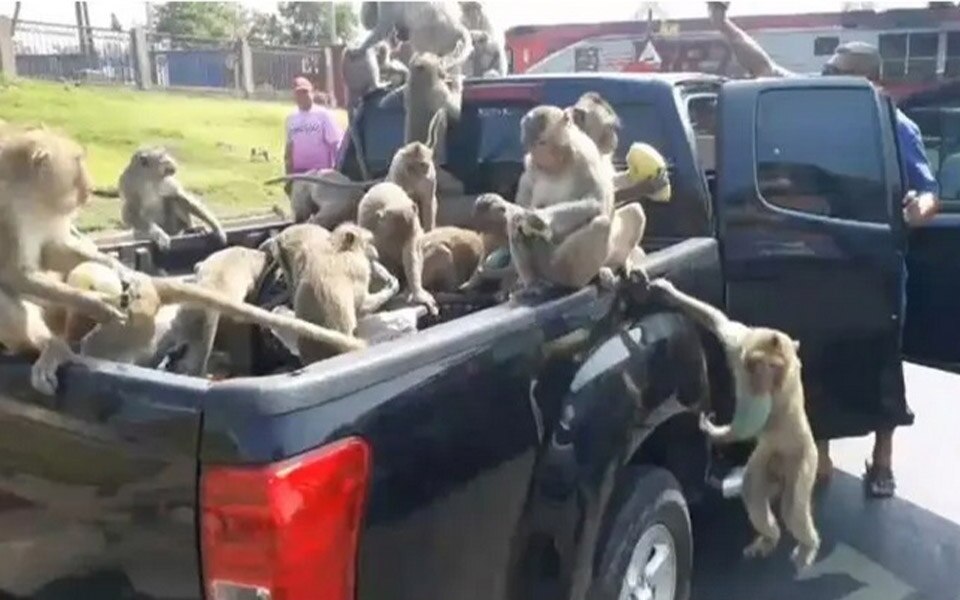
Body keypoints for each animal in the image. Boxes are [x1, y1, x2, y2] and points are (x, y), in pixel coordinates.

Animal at [644, 278, 816, 568]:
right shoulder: (740, 344)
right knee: (753, 489)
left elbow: (753, 417)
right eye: (767, 365)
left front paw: (715, 431)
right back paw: (769, 538)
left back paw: (808, 547)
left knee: (793, 508)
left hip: (803, 459)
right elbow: (718, 320)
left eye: (775, 368)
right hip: (768, 458)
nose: (766, 380)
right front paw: (666, 292)